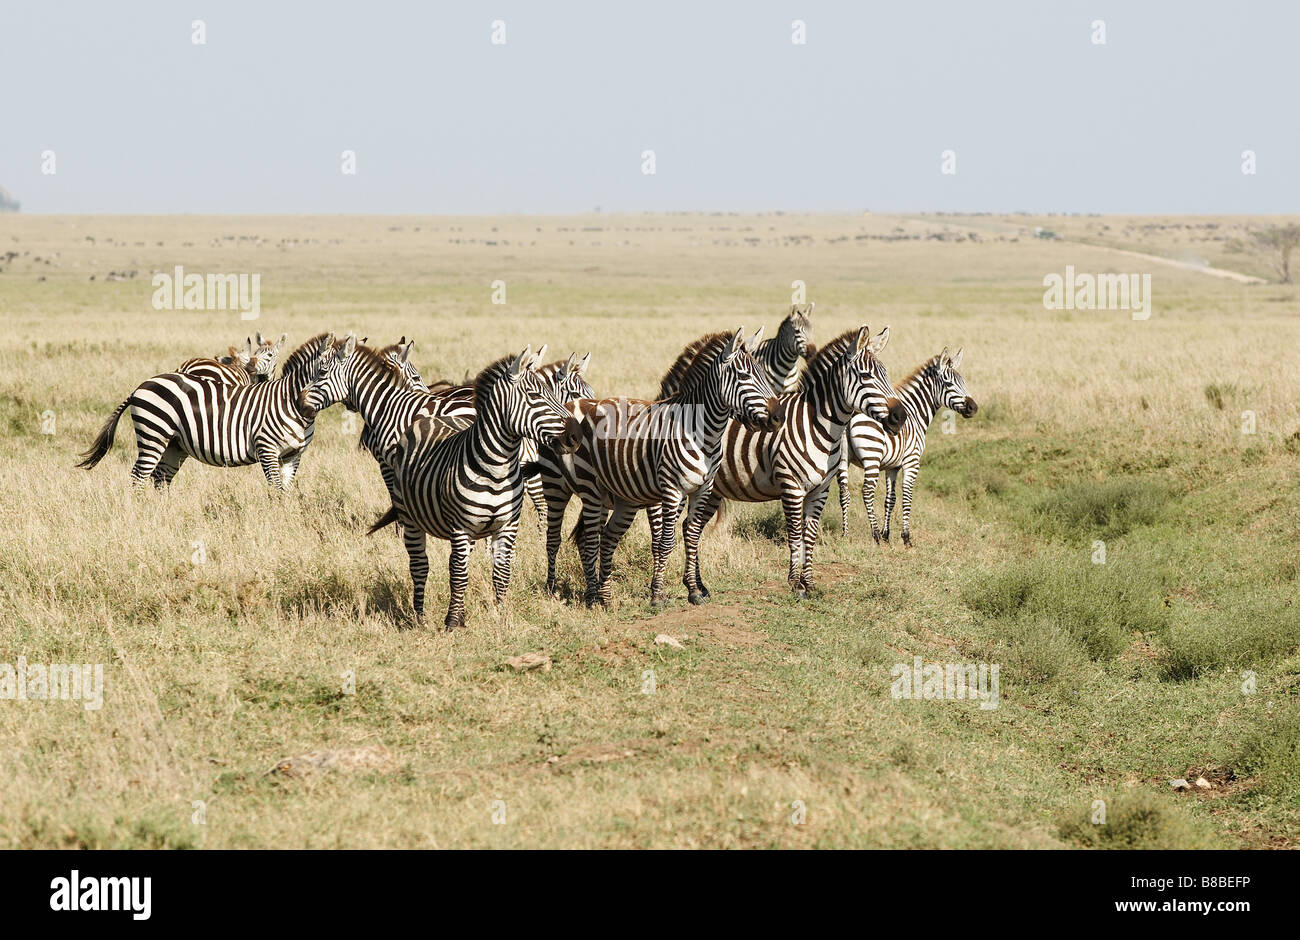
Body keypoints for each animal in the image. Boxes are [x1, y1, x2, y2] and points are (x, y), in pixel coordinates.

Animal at [77, 333, 354, 490]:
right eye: (322, 371)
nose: (303, 402)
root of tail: (142, 384)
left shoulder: (293, 455)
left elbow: (285, 491)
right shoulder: (267, 449)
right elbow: (275, 489)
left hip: (174, 445)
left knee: (160, 479)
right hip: (154, 434)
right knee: (138, 477)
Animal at [367, 347, 583, 630]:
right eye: (535, 396)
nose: (577, 435)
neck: (497, 469)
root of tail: (431, 418)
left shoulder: (507, 526)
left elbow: (501, 573)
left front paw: (500, 616)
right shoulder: (461, 527)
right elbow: (459, 574)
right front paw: (451, 623)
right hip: (410, 518)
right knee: (421, 566)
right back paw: (420, 618)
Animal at [533, 327, 784, 607]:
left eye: (763, 374)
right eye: (744, 376)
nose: (778, 417)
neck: (703, 433)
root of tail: (567, 407)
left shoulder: (702, 489)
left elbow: (692, 534)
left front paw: (694, 590)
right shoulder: (670, 491)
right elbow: (664, 542)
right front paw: (658, 594)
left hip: (617, 497)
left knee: (604, 537)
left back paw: (604, 596)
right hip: (563, 488)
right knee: (561, 538)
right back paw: (568, 592)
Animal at [681, 326, 904, 603]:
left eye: (886, 374)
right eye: (866, 376)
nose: (901, 416)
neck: (818, 424)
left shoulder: (821, 490)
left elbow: (810, 535)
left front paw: (809, 583)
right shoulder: (791, 486)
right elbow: (796, 534)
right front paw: (795, 584)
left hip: (711, 491)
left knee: (692, 528)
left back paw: (700, 586)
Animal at [837, 347, 977, 546]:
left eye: (963, 382)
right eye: (949, 384)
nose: (974, 408)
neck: (915, 412)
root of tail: (850, 416)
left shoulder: (892, 466)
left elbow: (890, 499)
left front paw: (887, 535)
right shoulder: (912, 461)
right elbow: (907, 496)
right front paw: (905, 537)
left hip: (842, 459)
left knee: (844, 492)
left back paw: (845, 534)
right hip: (872, 457)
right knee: (867, 491)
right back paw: (875, 535)